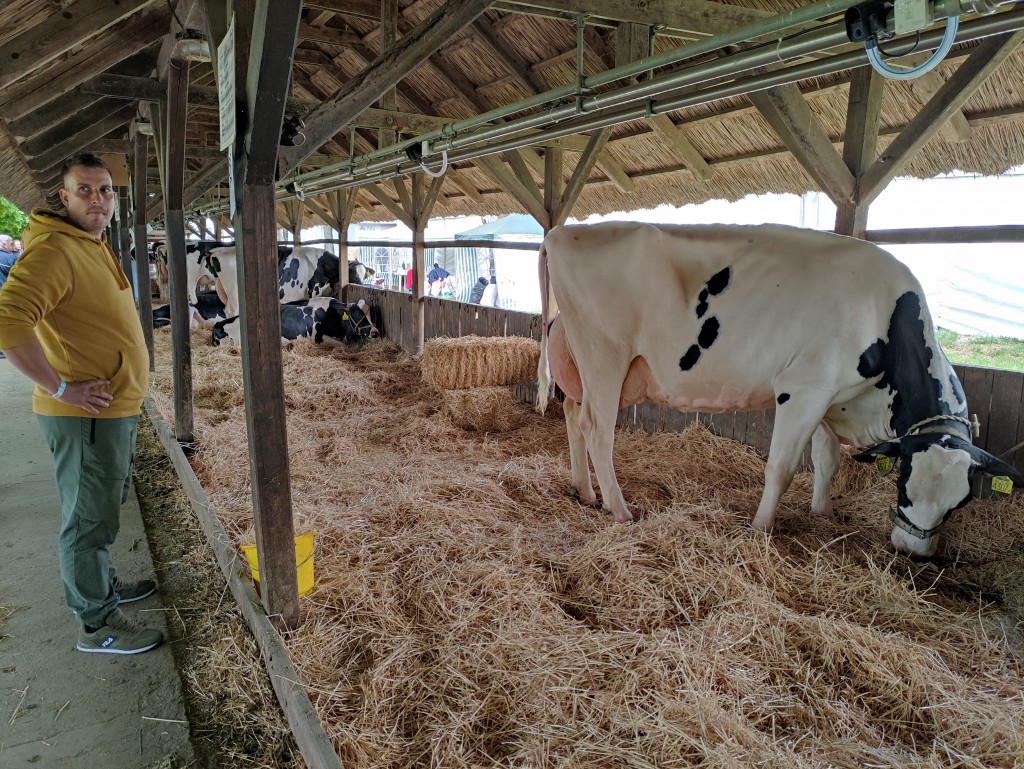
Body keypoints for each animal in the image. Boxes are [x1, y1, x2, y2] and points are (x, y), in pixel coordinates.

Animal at [211, 297, 378, 347]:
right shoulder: (319, 338)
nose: (375, 332)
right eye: (358, 314)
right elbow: (342, 346)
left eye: (371, 313)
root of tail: (216, 326)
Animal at [536, 222, 1023, 558]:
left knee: (573, 418)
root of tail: (561, 231)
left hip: (579, 365)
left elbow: (827, 462)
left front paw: (823, 513)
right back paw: (620, 511)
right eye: (904, 485)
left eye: (960, 504)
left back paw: (586, 492)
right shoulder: (803, 389)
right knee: (598, 431)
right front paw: (760, 528)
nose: (912, 551)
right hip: (605, 358)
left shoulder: (832, 398)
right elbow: (783, 468)